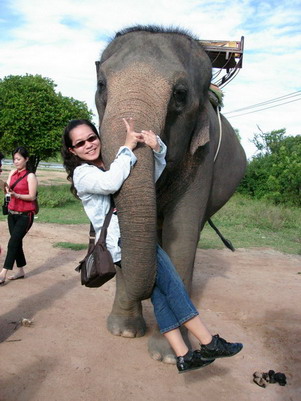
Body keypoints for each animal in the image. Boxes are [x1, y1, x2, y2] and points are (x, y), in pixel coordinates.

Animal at [94, 25, 246, 362]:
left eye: (180, 94)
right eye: (101, 85)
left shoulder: (202, 159)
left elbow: (183, 234)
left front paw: (166, 354)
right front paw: (124, 332)